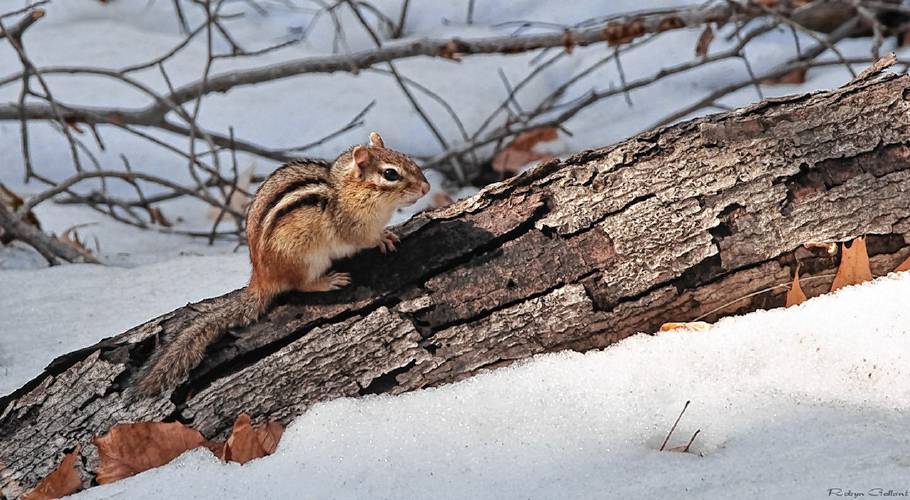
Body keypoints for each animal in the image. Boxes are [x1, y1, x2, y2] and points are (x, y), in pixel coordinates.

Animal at [135, 132, 430, 396]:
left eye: (408, 158)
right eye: (390, 174)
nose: (427, 188)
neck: (349, 191)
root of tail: (261, 277)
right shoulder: (352, 227)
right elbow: (364, 239)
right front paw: (383, 237)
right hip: (307, 258)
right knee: (300, 285)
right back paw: (328, 281)